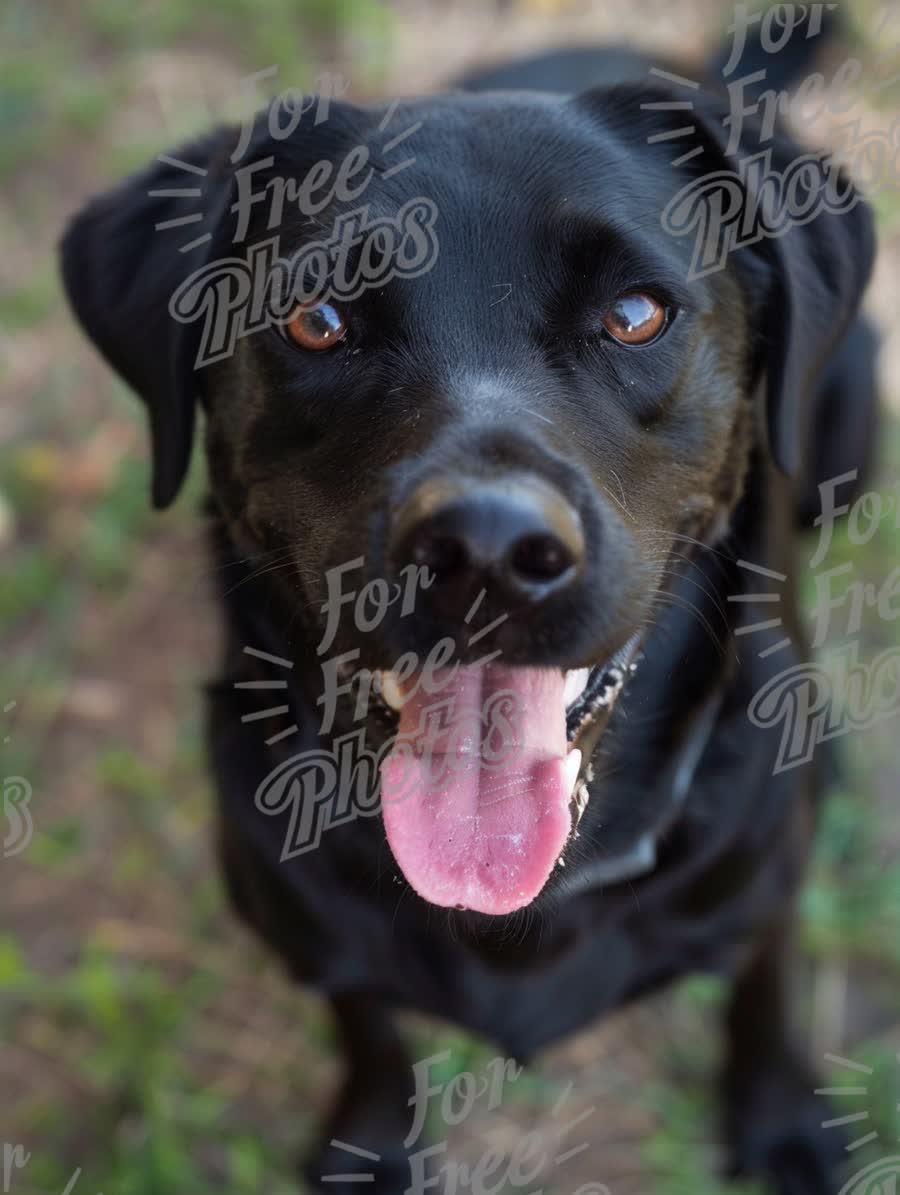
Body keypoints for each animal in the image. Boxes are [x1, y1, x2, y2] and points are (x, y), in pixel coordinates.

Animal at [61, 11, 879, 1195]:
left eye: (636, 313)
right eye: (317, 318)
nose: (487, 552)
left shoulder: (763, 890)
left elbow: (761, 991)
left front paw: (780, 1121)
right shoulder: (313, 937)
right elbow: (367, 1025)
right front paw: (368, 1139)